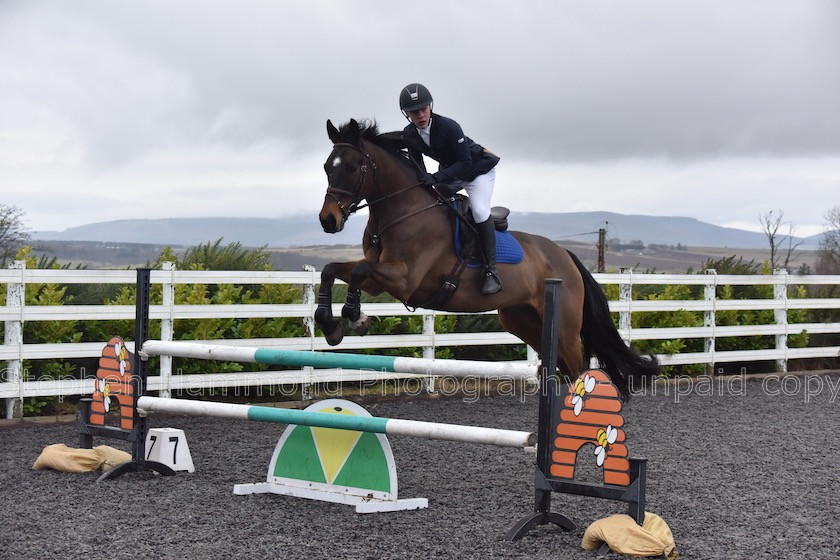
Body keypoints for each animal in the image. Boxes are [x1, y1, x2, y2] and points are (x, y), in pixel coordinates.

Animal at [316, 118, 656, 398]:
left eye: (351, 167)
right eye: (327, 167)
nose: (328, 220)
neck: (401, 210)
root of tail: (566, 257)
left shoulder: (404, 279)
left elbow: (359, 270)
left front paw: (355, 318)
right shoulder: (380, 281)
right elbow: (332, 269)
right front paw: (330, 325)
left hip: (565, 325)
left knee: (578, 365)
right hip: (523, 320)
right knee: (561, 365)